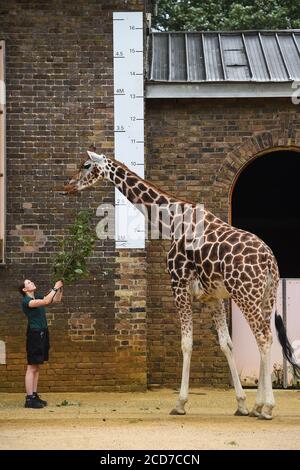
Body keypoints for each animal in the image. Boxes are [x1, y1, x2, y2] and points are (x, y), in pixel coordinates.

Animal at [63, 150, 300, 418]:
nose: (67, 186)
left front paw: (180, 403)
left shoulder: (178, 284)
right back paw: (259, 406)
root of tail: (269, 260)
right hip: (267, 296)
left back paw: (268, 407)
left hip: (245, 294)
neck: (172, 222)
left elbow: (186, 343)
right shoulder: (214, 297)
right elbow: (226, 344)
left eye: (86, 165)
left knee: (263, 337)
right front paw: (241, 403)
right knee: (265, 337)